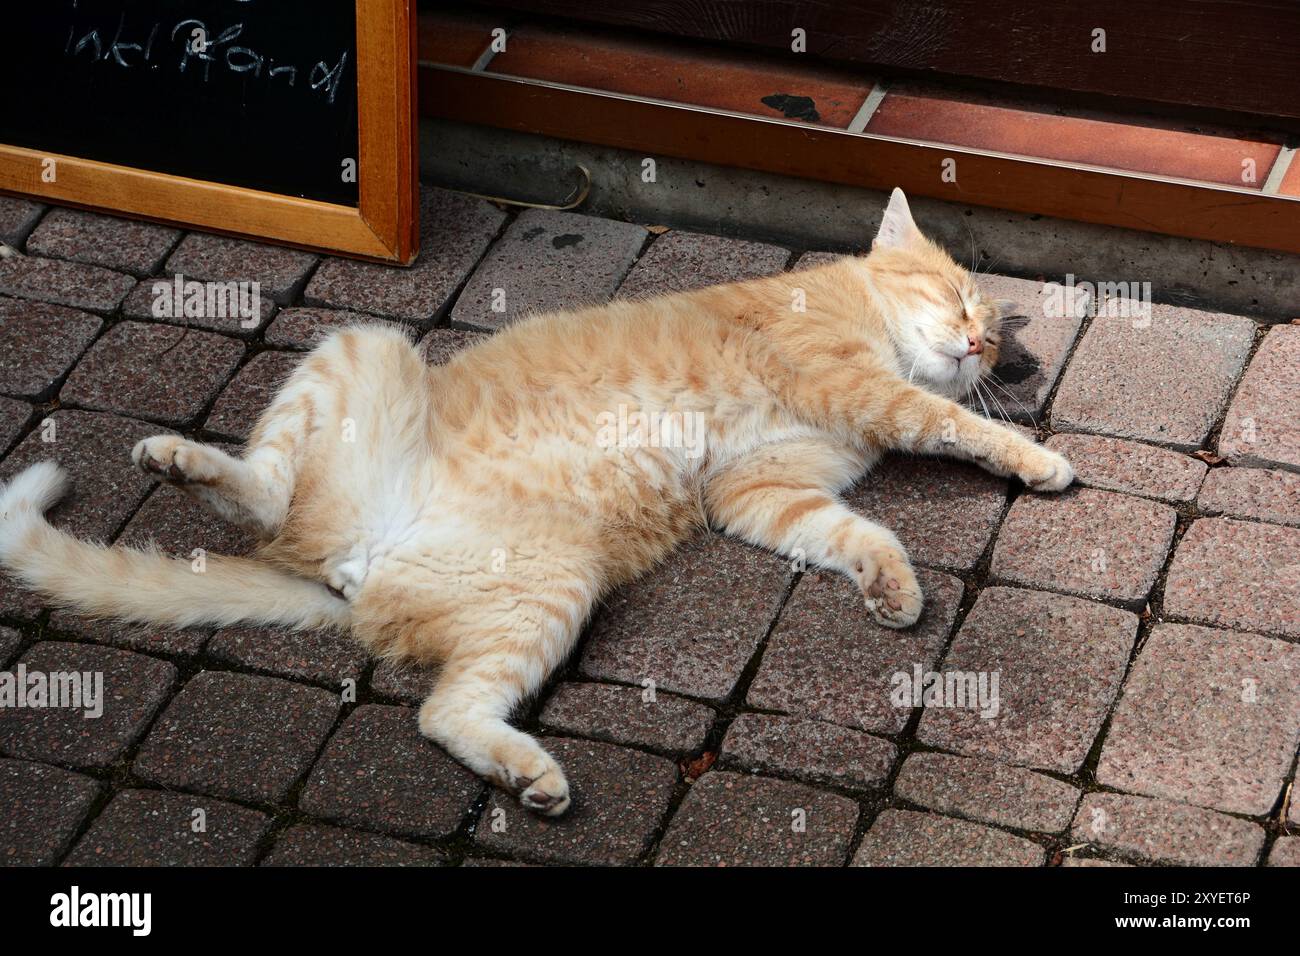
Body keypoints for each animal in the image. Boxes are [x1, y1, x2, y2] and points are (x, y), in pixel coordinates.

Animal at [0, 188, 1071, 816]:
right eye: (958, 300)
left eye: (985, 324)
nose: (981, 345)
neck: (845, 307)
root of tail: (347, 570)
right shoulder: (850, 391)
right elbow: (946, 420)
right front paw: (1033, 456)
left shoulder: (763, 489)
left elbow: (857, 531)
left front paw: (892, 587)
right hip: (364, 347)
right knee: (265, 501)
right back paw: (180, 460)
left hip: (543, 584)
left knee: (445, 711)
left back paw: (527, 773)